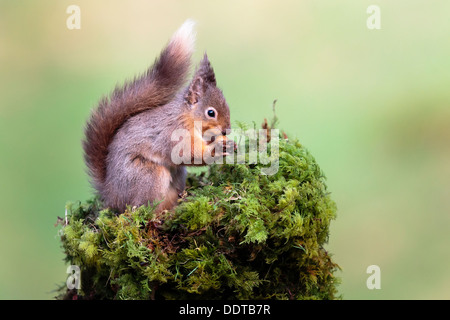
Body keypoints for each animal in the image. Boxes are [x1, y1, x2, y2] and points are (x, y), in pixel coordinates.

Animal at [82, 20, 234, 215]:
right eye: (211, 113)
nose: (227, 130)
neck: (187, 117)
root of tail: (111, 195)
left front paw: (229, 144)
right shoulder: (173, 133)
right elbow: (187, 153)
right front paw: (216, 149)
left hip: (176, 178)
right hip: (148, 176)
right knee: (138, 210)